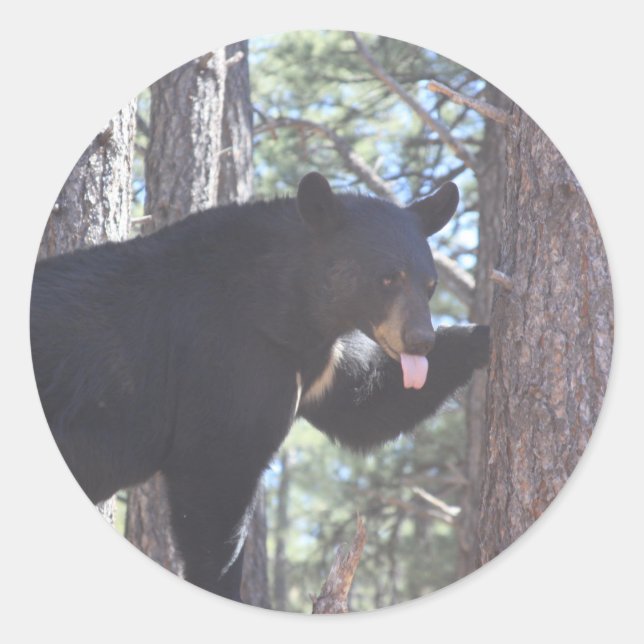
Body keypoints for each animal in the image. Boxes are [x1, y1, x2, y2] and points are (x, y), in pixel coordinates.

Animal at [30, 172, 489, 602]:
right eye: (387, 279)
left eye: (430, 285)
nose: (420, 341)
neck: (288, 308)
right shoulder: (227, 357)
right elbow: (217, 471)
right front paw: (222, 584)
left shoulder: (317, 364)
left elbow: (366, 404)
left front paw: (480, 335)